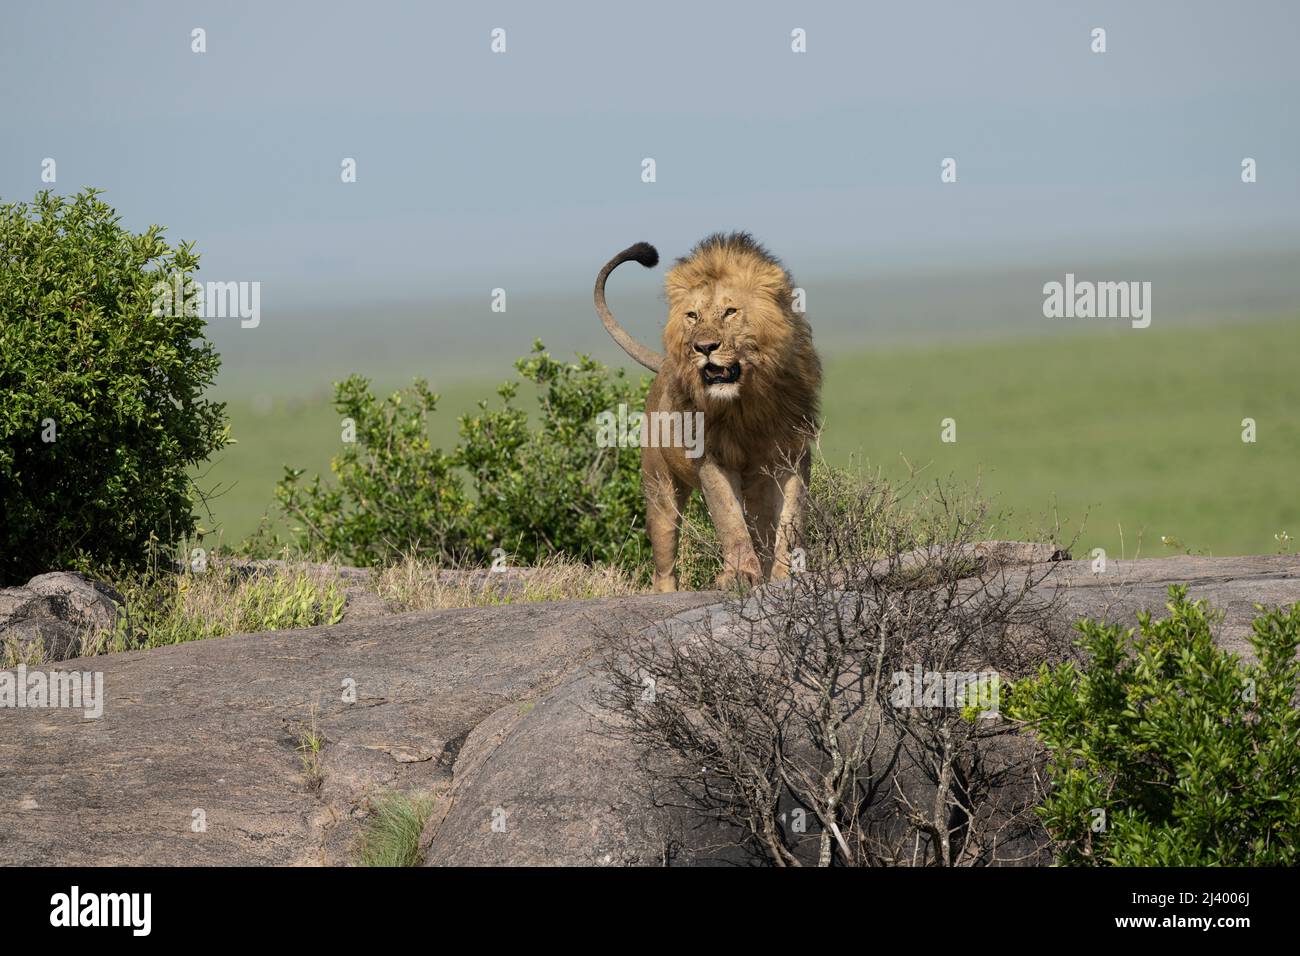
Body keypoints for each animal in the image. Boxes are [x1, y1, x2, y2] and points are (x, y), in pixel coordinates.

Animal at [594, 232, 822, 591]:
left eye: (730, 311)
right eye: (692, 316)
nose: (703, 347)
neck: (745, 404)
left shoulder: (792, 454)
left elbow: (792, 519)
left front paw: (789, 575)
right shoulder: (712, 459)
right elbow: (729, 520)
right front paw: (740, 575)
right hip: (660, 488)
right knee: (664, 563)